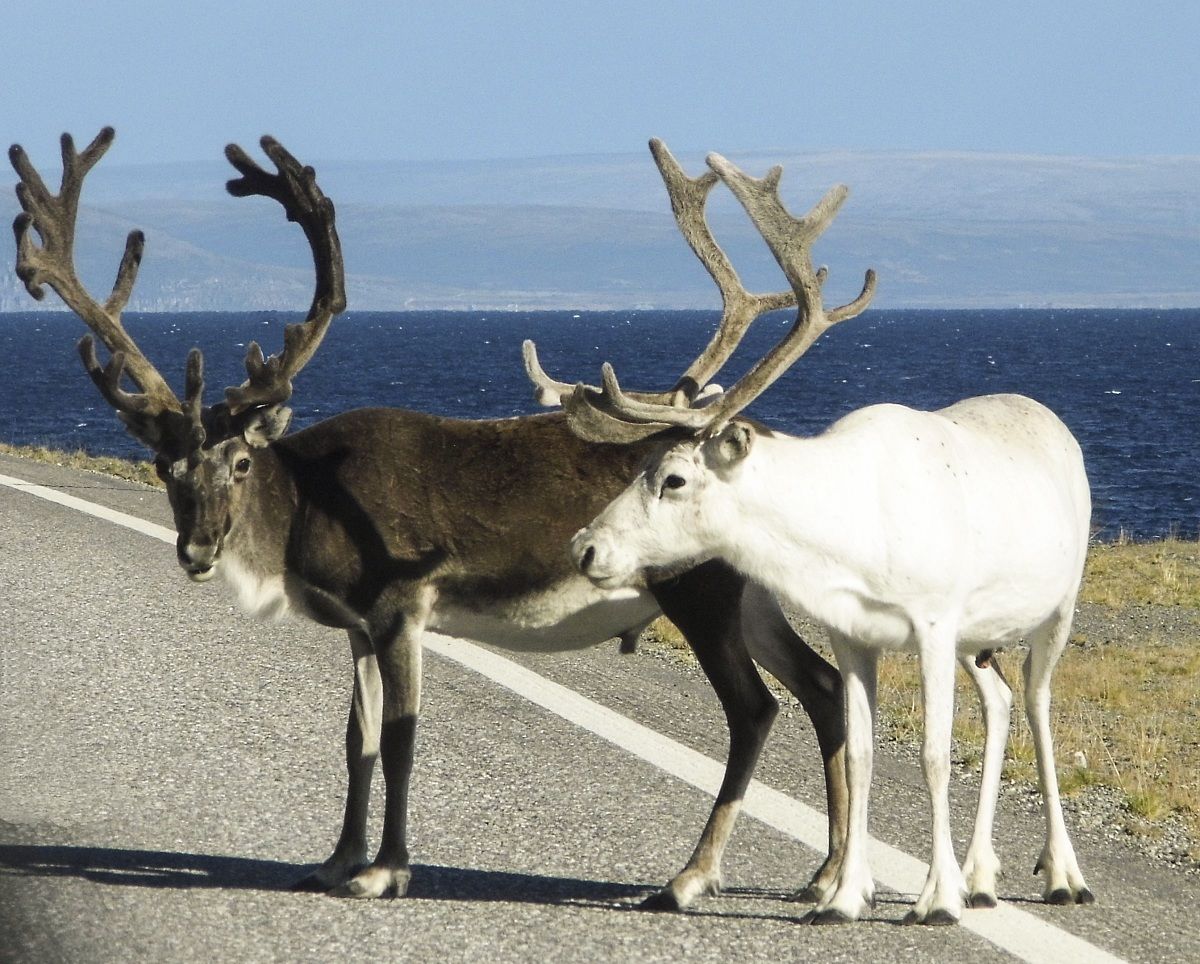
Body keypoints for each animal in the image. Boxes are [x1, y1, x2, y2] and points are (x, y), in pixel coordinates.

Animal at [10, 129, 852, 908]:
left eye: (242, 463)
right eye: (165, 468)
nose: (198, 549)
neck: (300, 509)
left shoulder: (400, 606)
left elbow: (402, 739)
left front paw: (386, 869)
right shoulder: (356, 623)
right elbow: (356, 740)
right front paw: (334, 860)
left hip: (697, 588)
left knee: (755, 708)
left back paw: (692, 876)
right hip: (751, 593)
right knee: (821, 685)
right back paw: (825, 877)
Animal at [532, 152, 1095, 925]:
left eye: (673, 477)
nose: (585, 546)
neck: (846, 537)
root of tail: (1052, 420)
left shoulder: (934, 621)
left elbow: (931, 754)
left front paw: (933, 898)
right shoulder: (852, 630)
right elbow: (858, 751)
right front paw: (847, 895)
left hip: (1055, 606)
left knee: (1040, 709)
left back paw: (1061, 872)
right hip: (980, 637)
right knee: (1002, 701)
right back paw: (982, 873)